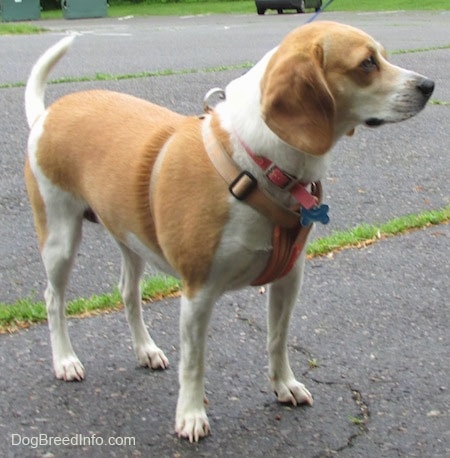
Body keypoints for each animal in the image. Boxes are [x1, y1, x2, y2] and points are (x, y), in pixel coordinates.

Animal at [23, 21, 432, 440]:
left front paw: (283, 385)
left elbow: (277, 339)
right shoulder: (198, 293)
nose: (429, 85)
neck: (258, 164)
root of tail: (47, 115)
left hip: (130, 240)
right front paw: (190, 415)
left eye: (382, 56)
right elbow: (194, 362)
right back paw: (65, 359)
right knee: (53, 299)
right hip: (59, 238)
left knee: (128, 293)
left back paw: (145, 349)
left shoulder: (288, 279)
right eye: (367, 63)